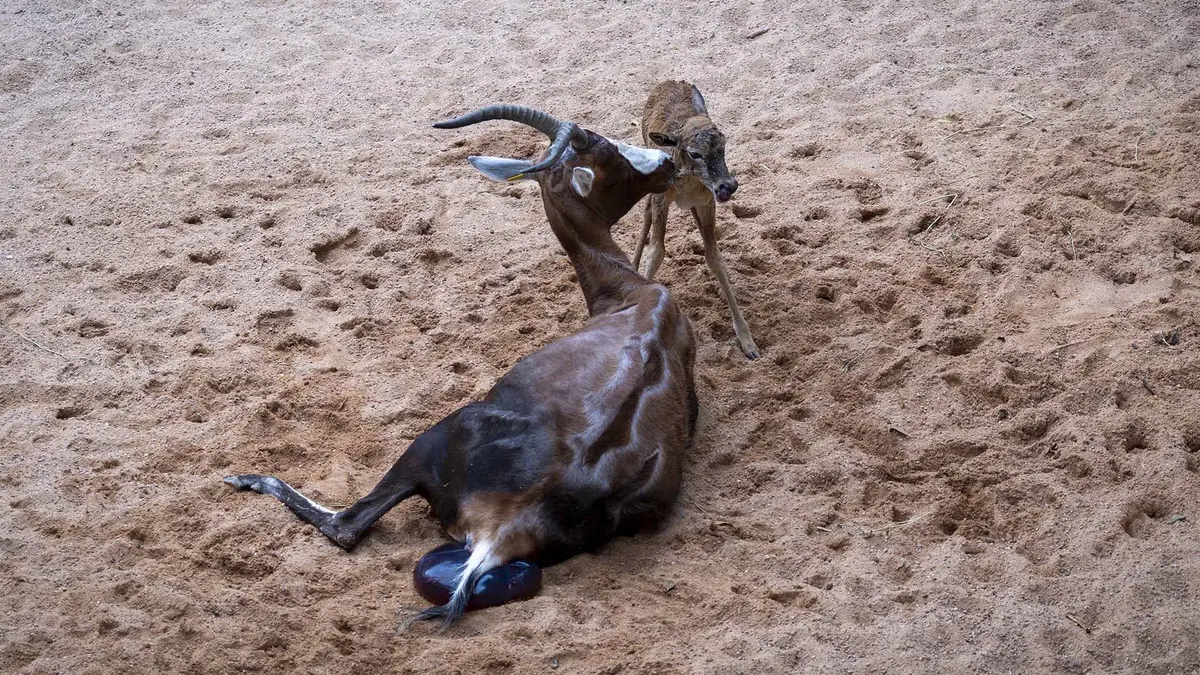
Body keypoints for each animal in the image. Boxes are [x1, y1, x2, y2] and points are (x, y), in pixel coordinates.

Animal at [225, 105, 698, 629]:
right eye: (608, 150)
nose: (666, 161)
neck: (638, 296)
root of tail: (505, 529)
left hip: (434, 439)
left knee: (345, 526)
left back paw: (247, 478)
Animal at [633, 80, 760, 360]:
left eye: (723, 145)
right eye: (695, 153)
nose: (728, 186)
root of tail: (670, 80)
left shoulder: (706, 202)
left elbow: (714, 256)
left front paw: (748, 341)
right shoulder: (661, 199)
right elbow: (656, 252)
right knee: (645, 212)